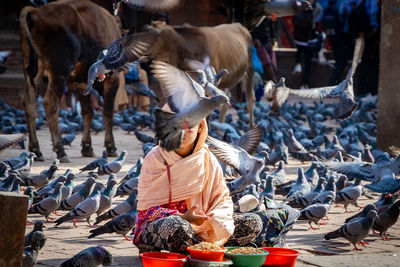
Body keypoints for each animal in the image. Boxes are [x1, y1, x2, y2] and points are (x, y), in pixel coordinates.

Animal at [20, 0, 120, 162]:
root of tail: (36, 12)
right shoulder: (113, 77)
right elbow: (108, 112)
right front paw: (111, 147)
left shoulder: (82, 82)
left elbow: (87, 112)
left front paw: (87, 147)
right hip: (60, 71)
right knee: (50, 103)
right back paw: (60, 150)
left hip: (32, 71)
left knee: (30, 104)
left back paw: (36, 150)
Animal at [87, 21, 256, 126]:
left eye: (145, 38)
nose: (121, 52)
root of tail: (240, 25)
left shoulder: (212, 79)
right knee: (226, 103)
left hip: (249, 70)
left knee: (250, 100)